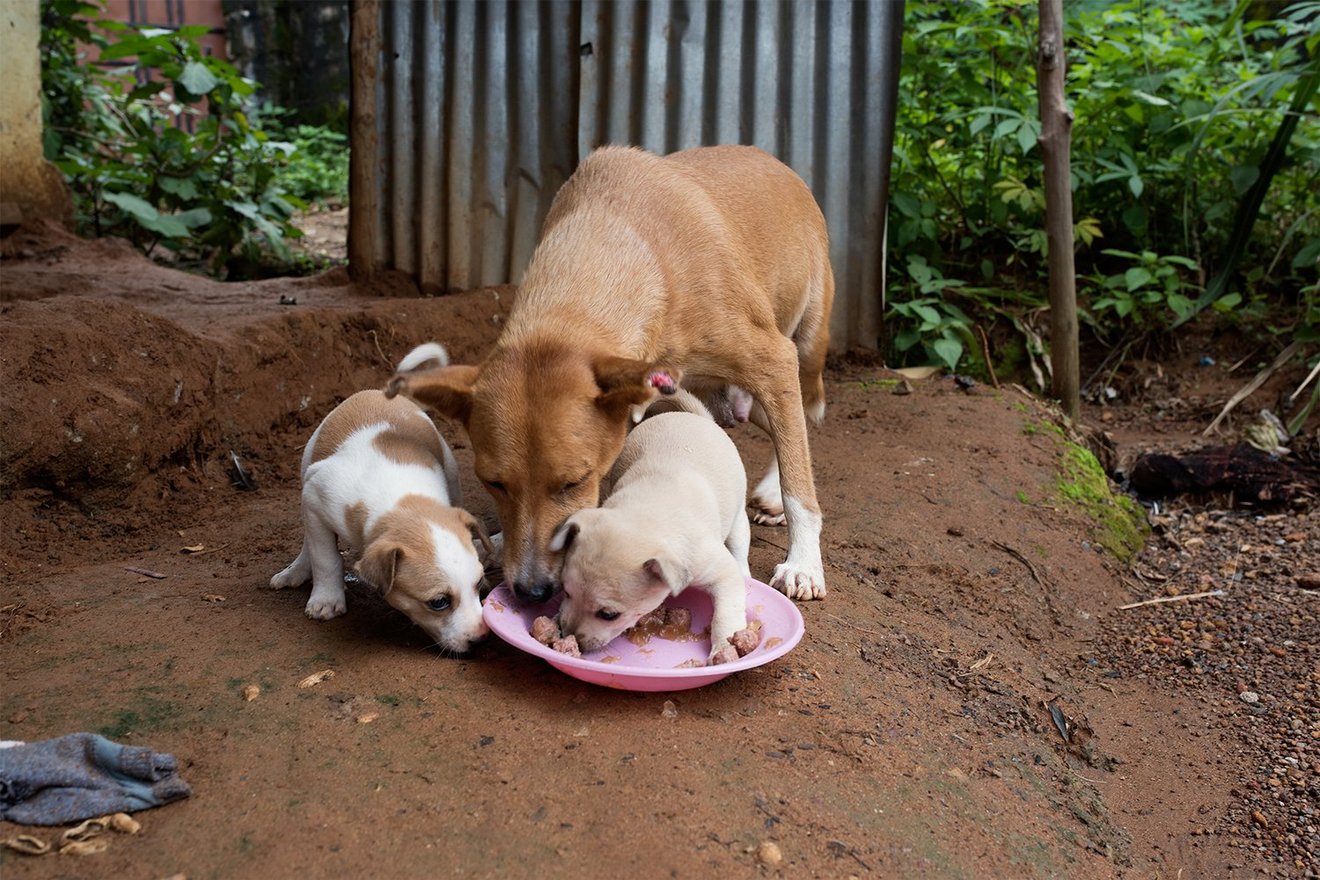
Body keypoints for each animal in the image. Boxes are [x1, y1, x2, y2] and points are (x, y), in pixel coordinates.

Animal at [267, 348, 491, 651]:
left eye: (478, 583)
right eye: (438, 602)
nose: (482, 639)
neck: (404, 501)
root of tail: (379, 393)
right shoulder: (316, 497)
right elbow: (325, 557)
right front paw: (327, 599)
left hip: (452, 472)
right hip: (307, 471)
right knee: (310, 542)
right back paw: (297, 570)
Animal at [385, 147, 828, 609]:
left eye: (573, 481)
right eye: (494, 483)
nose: (532, 591)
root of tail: (769, 159)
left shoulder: (774, 360)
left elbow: (799, 485)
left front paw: (803, 564)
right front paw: (499, 539)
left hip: (801, 352)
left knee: (802, 425)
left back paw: (777, 501)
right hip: (721, 394)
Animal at [549, 414, 755, 659]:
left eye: (608, 615)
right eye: (565, 591)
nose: (567, 635)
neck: (650, 510)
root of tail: (693, 415)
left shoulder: (719, 571)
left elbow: (726, 612)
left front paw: (724, 648)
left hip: (738, 519)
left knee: (739, 546)